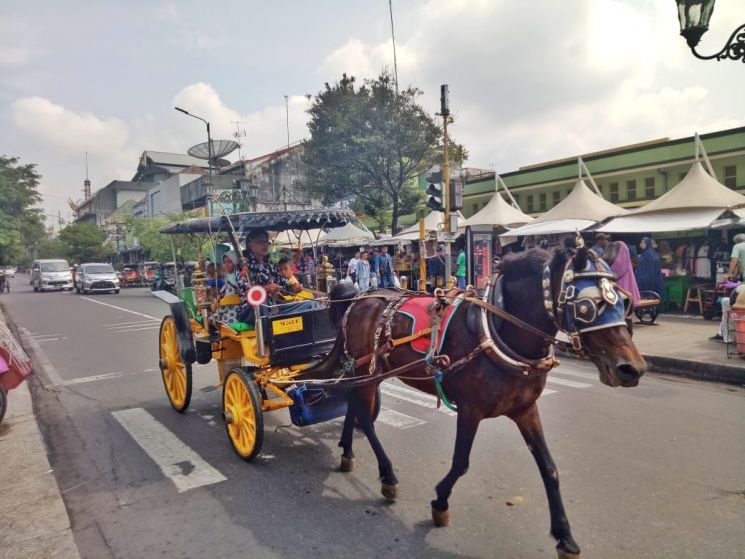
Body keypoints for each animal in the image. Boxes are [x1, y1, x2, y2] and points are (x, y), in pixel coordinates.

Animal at [316, 245, 644, 559]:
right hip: (367, 372)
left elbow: (549, 468)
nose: (632, 368)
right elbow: (461, 462)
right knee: (366, 418)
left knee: (353, 405)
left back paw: (347, 452)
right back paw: (388, 475)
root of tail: (360, 296)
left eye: (624, 301)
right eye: (587, 306)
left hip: (365, 371)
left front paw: (565, 536)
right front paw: (440, 502)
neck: (499, 330)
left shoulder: (526, 409)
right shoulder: (470, 410)